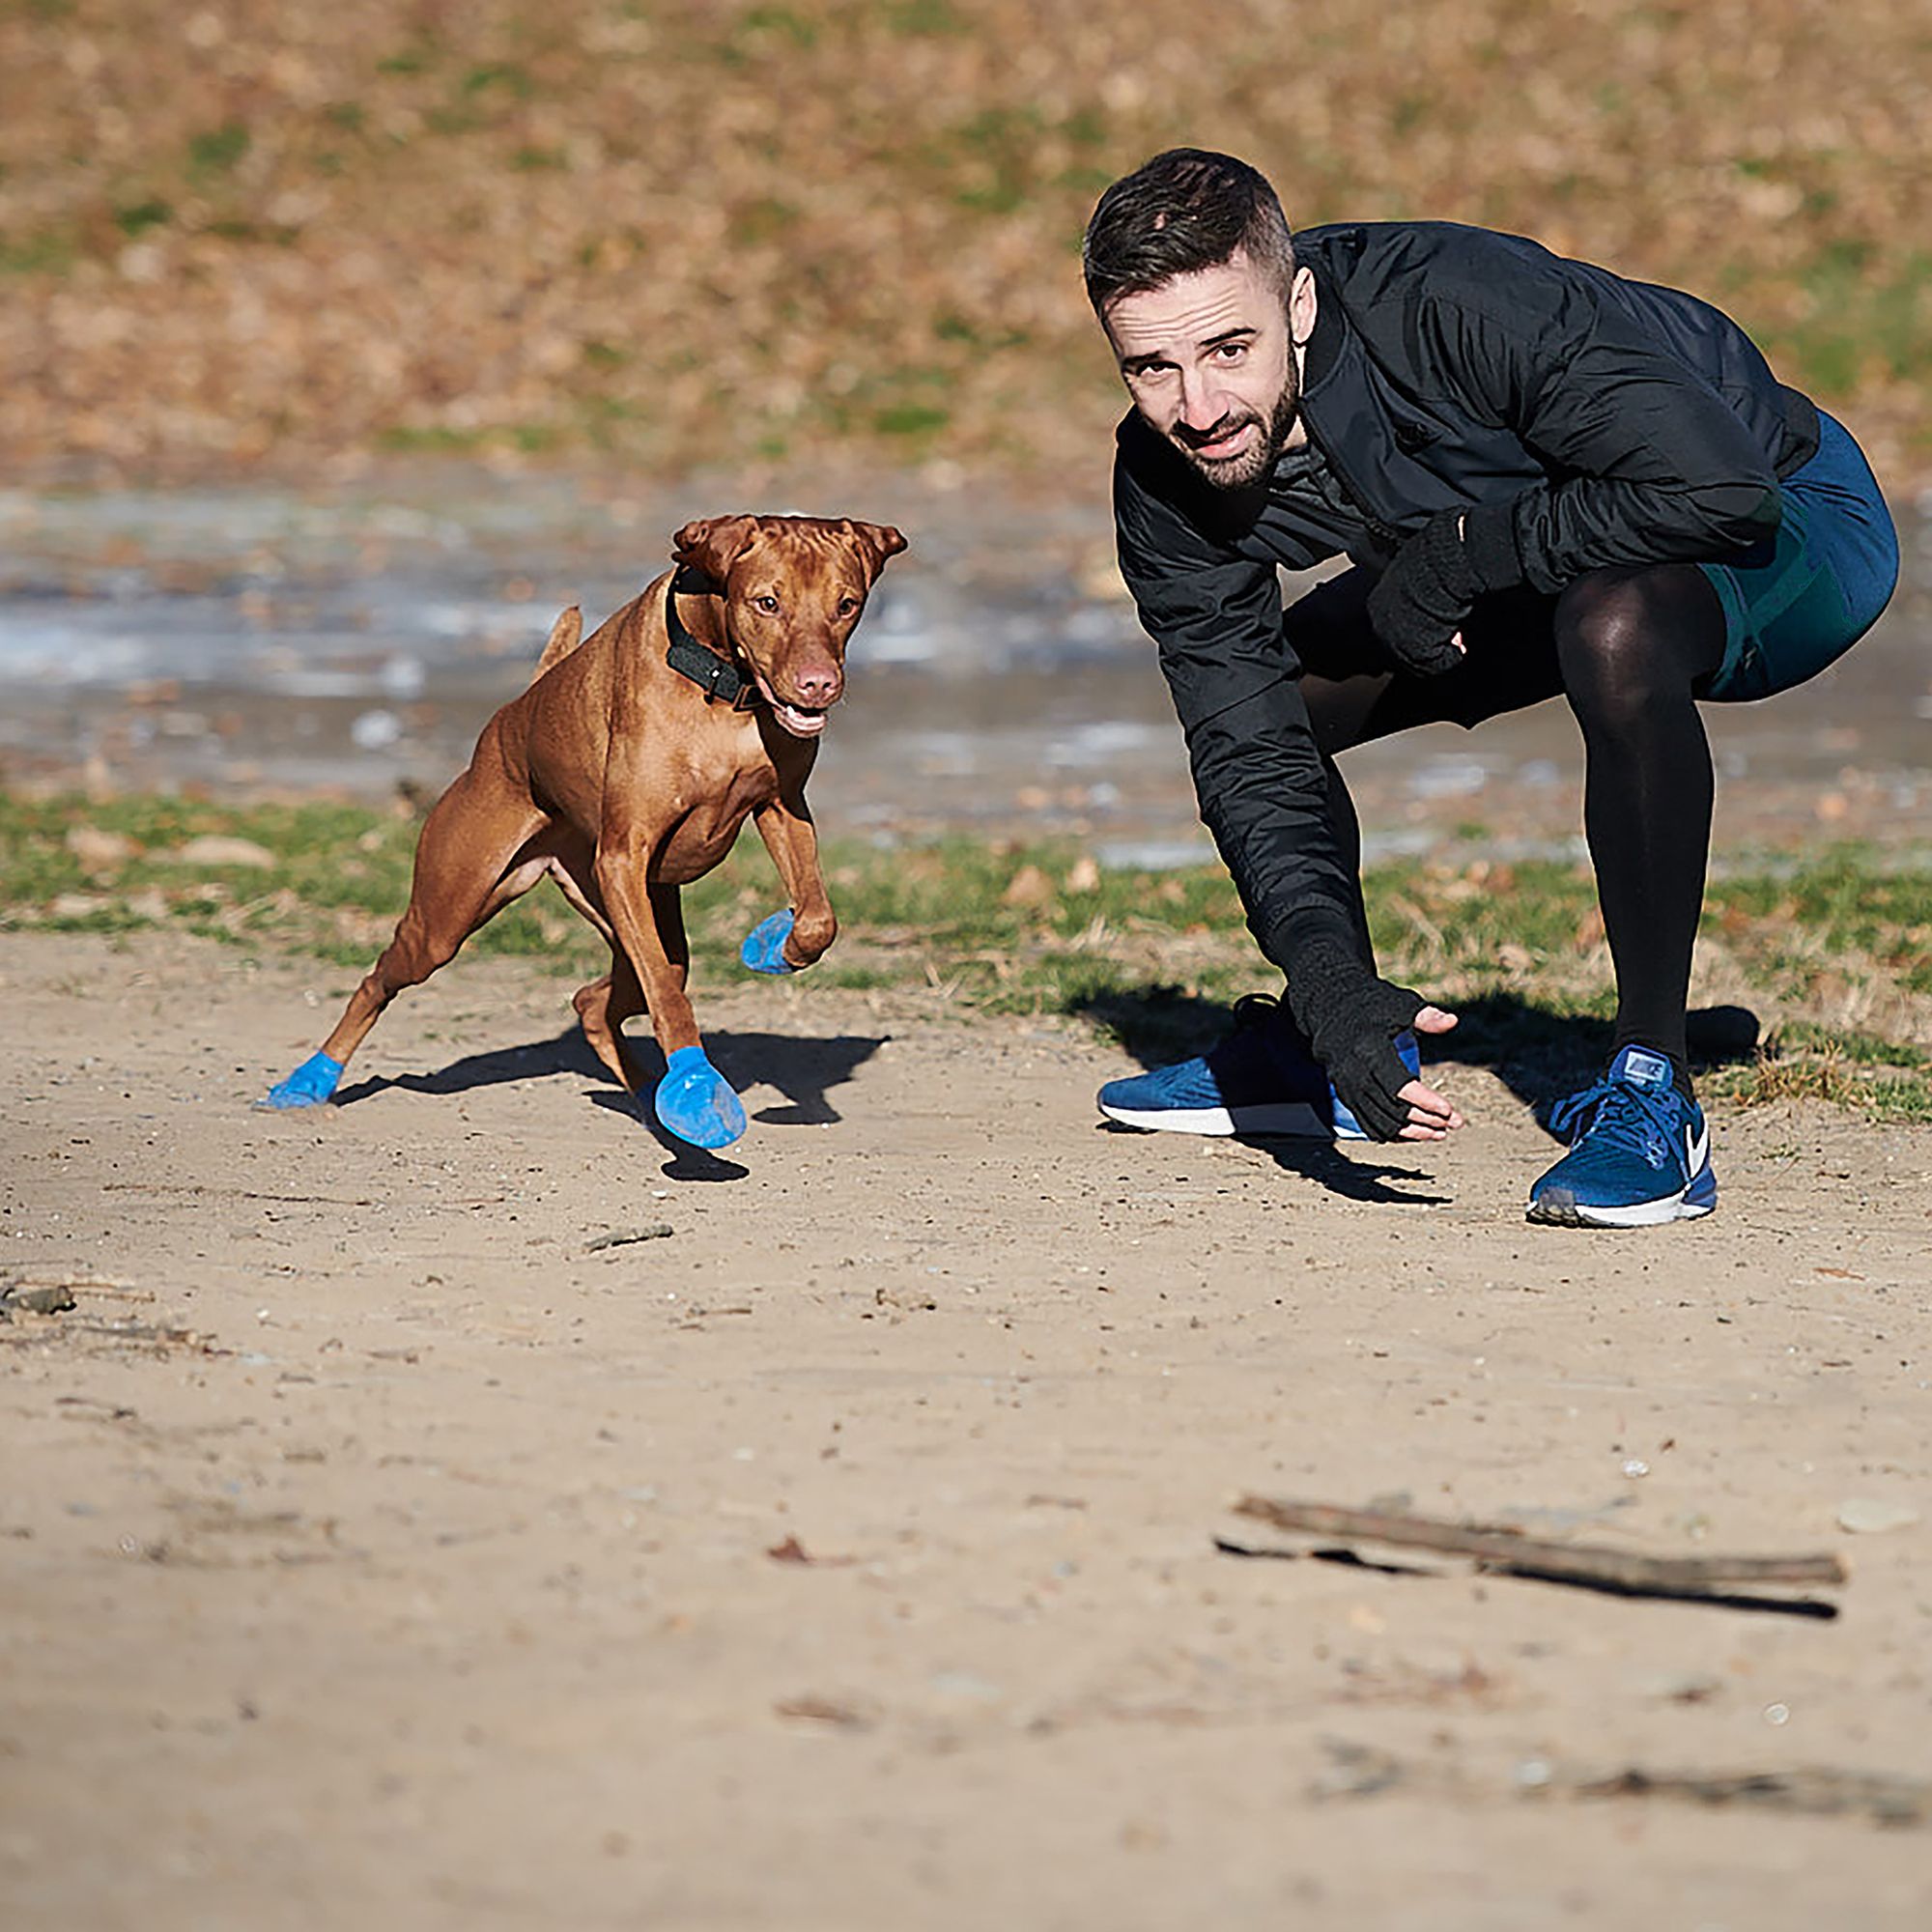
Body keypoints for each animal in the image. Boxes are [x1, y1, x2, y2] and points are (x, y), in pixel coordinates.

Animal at [259, 514, 912, 1144]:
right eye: (767, 602)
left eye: (847, 604)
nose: (818, 684)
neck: (721, 684)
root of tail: (512, 712)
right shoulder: (624, 856)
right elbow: (670, 1002)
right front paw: (697, 1088)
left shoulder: (781, 805)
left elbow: (817, 920)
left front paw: (774, 945)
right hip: (452, 912)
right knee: (383, 978)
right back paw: (309, 1080)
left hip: (632, 916)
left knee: (600, 999)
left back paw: (647, 1096)